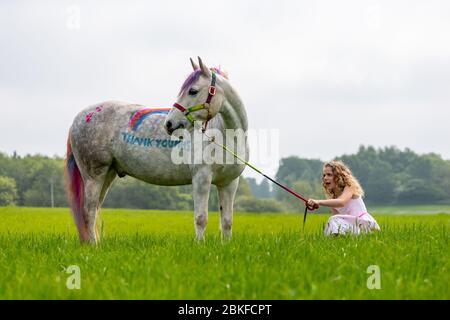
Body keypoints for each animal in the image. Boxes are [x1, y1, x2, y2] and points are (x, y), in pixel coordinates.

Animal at [65, 57, 250, 242]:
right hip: (94, 176)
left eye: (193, 91)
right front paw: (200, 245)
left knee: (95, 209)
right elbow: (201, 218)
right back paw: (94, 245)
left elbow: (226, 222)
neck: (225, 135)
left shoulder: (229, 183)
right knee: (89, 212)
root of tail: (79, 118)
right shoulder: (201, 178)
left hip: (108, 174)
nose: (169, 123)